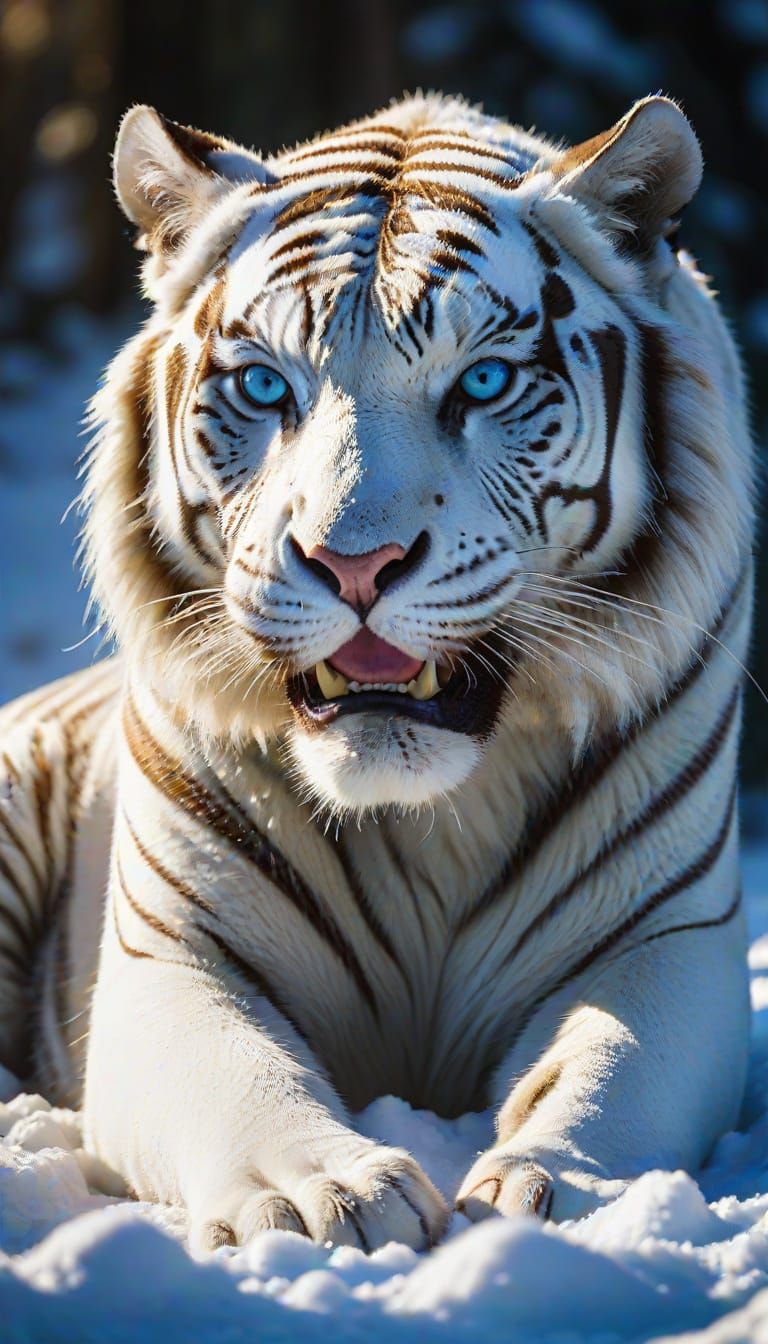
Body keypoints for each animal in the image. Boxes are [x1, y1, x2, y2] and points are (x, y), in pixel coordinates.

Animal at [0, 90, 753, 1253]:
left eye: (482, 380)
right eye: (266, 384)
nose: (354, 561)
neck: (426, 819)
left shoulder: (664, 938)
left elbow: (608, 1071)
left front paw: (555, 1194)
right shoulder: (169, 955)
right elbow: (243, 1077)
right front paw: (328, 1196)